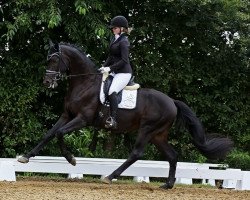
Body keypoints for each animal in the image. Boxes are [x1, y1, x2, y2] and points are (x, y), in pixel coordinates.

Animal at [18, 41, 234, 189]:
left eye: (54, 60)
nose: (47, 83)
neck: (84, 83)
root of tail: (172, 101)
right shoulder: (66, 115)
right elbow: (49, 134)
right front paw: (25, 157)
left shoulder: (82, 119)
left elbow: (59, 133)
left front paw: (71, 159)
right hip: (158, 135)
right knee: (172, 156)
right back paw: (168, 185)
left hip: (147, 129)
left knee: (136, 153)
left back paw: (110, 176)